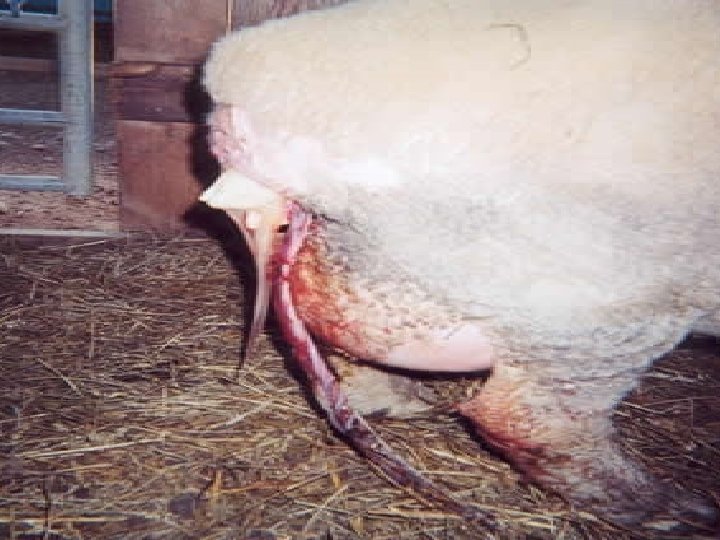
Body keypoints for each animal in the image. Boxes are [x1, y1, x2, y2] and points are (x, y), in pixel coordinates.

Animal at [200, 0, 720, 531]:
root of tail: (237, 71)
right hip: (594, 298)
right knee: (527, 424)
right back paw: (670, 511)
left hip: (384, 264)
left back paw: (398, 398)